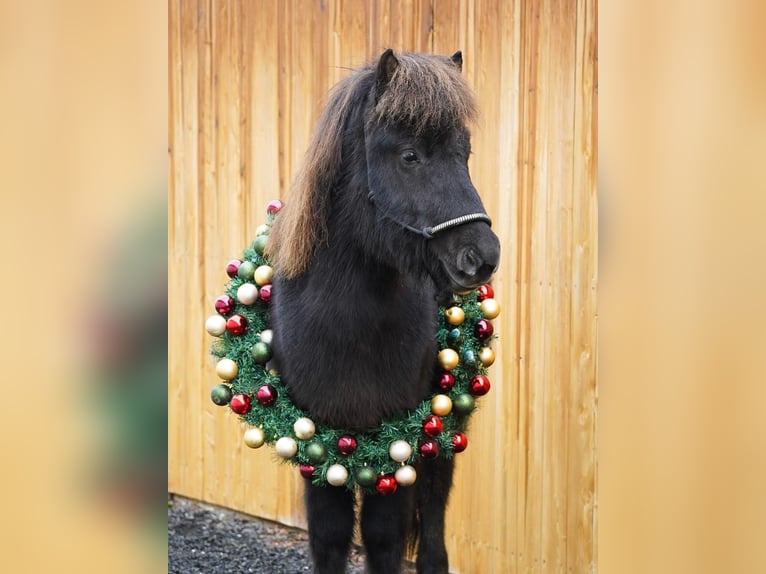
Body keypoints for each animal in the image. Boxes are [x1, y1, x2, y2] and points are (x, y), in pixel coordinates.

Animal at [268, 49, 500, 574]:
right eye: (409, 155)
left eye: (465, 154)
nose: (483, 256)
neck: (349, 329)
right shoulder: (317, 444)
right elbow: (330, 539)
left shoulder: (400, 450)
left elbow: (384, 540)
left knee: (433, 522)